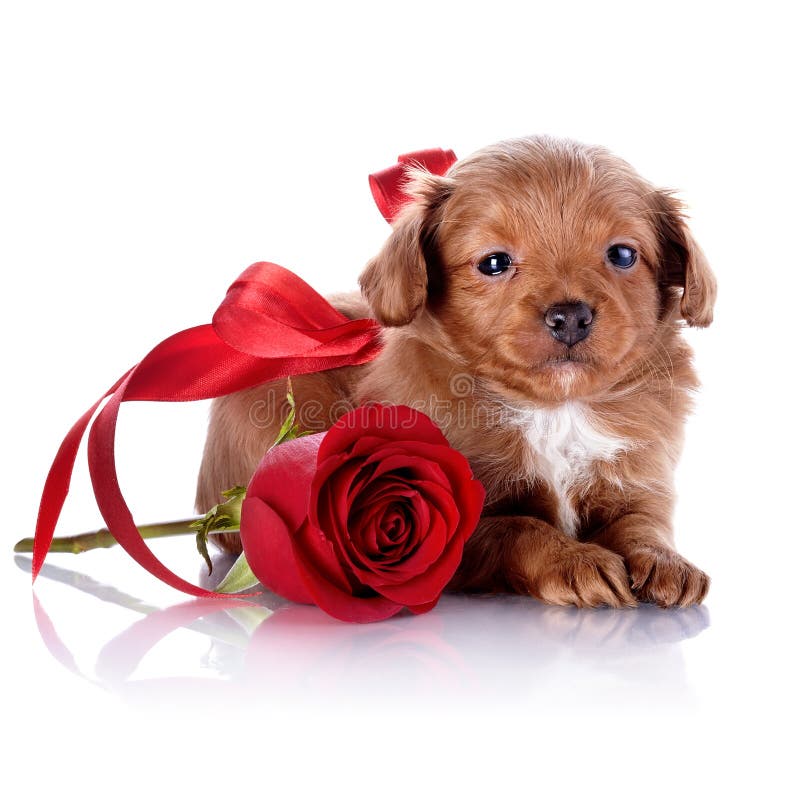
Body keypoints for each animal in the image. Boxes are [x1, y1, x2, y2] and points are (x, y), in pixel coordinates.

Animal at [197, 136, 716, 608]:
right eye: (494, 262)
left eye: (623, 255)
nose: (570, 316)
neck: (554, 409)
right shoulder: (451, 527)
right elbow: (518, 526)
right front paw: (575, 560)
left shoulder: (640, 483)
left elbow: (643, 524)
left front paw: (667, 561)